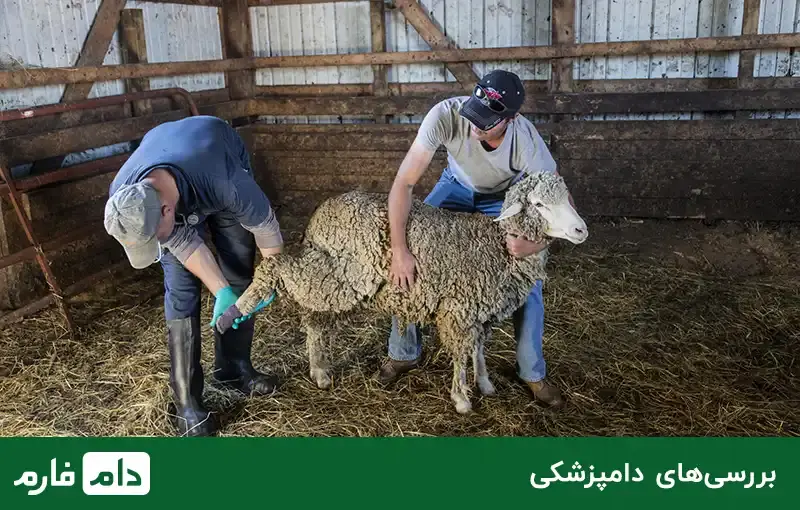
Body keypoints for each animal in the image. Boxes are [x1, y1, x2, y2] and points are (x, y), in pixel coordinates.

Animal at [215, 170, 589, 414]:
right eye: (538, 204)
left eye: (565, 199)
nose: (580, 230)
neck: (496, 244)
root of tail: (323, 212)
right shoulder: (459, 310)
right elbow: (461, 355)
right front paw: (462, 399)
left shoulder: (479, 311)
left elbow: (479, 351)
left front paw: (485, 385)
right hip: (339, 273)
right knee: (275, 269)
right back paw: (236, 309)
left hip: (334, 276)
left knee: (316, 319)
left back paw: (320, 371)